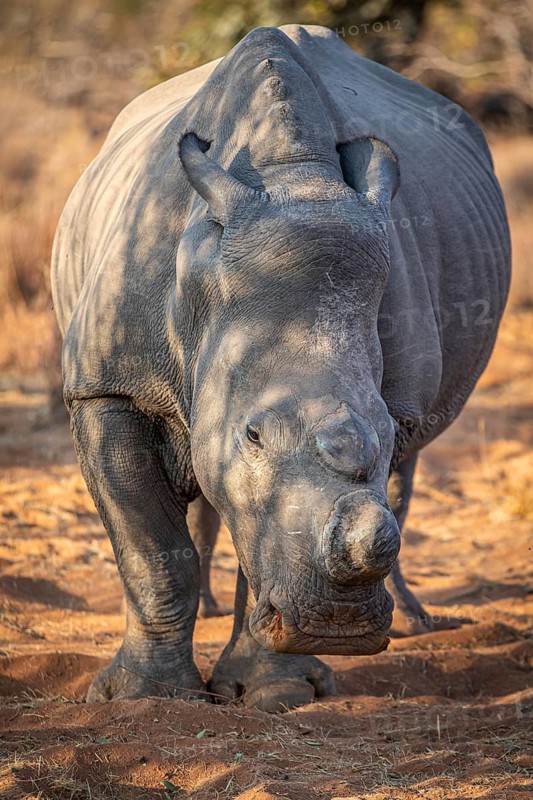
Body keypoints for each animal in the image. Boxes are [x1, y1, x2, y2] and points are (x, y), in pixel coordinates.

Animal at [51, 25, 510, 712]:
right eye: (253, 435)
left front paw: (277, 692)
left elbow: (265, 534)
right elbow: (150, 547)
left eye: (383, 428)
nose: (336, 627)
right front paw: (145, 698)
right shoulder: (105, 387)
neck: (291, 178)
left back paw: (418, 624)